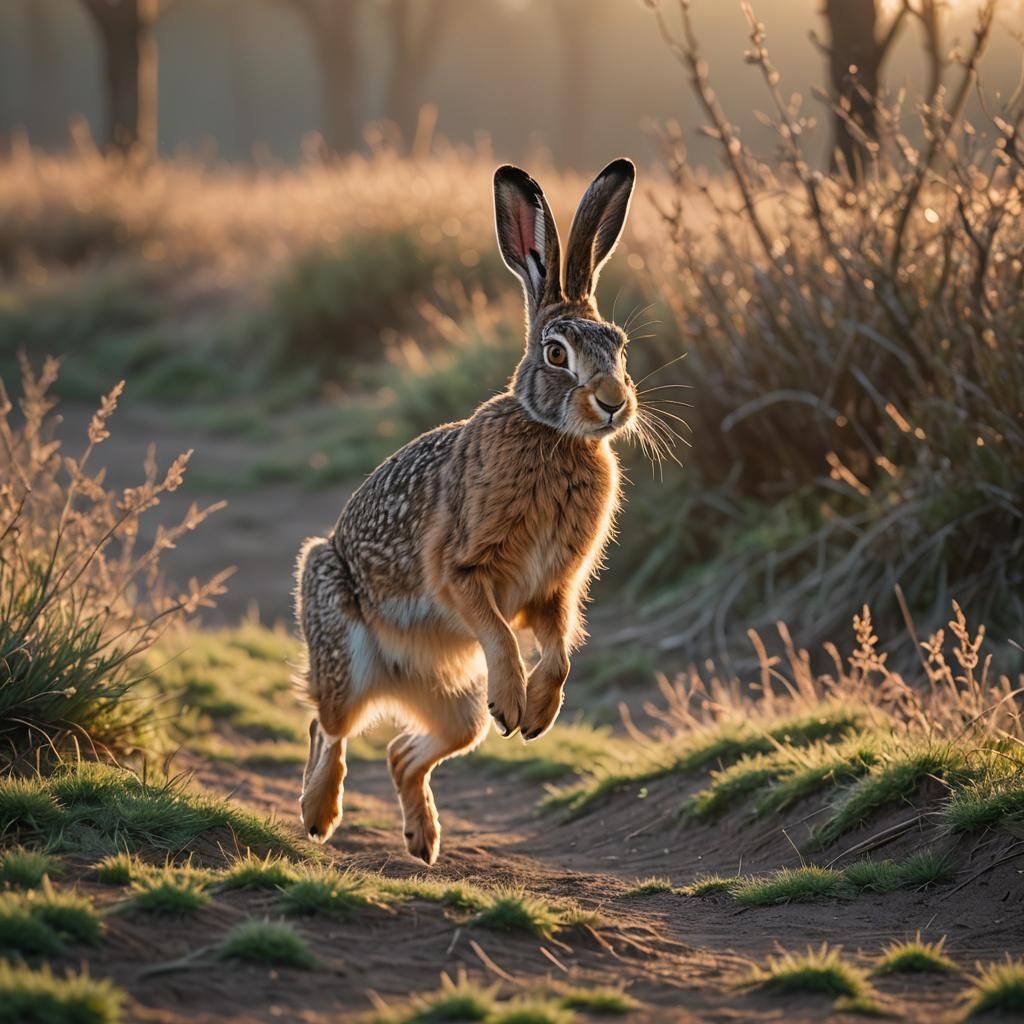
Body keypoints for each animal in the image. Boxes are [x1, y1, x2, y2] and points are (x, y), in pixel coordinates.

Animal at [295, 158, 639, 864]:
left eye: (619, 347)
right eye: (556, 353)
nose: (614, 403)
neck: (551, 434)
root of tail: (397, 677)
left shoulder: (554, 589)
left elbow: (559, 649)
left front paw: (537, 715)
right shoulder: (463, 570)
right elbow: (501, 635)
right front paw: (515, 702)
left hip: (455, 708)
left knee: (404, 752)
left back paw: (423, 839)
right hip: (340, 641)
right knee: (327, 726)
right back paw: (319, 814)